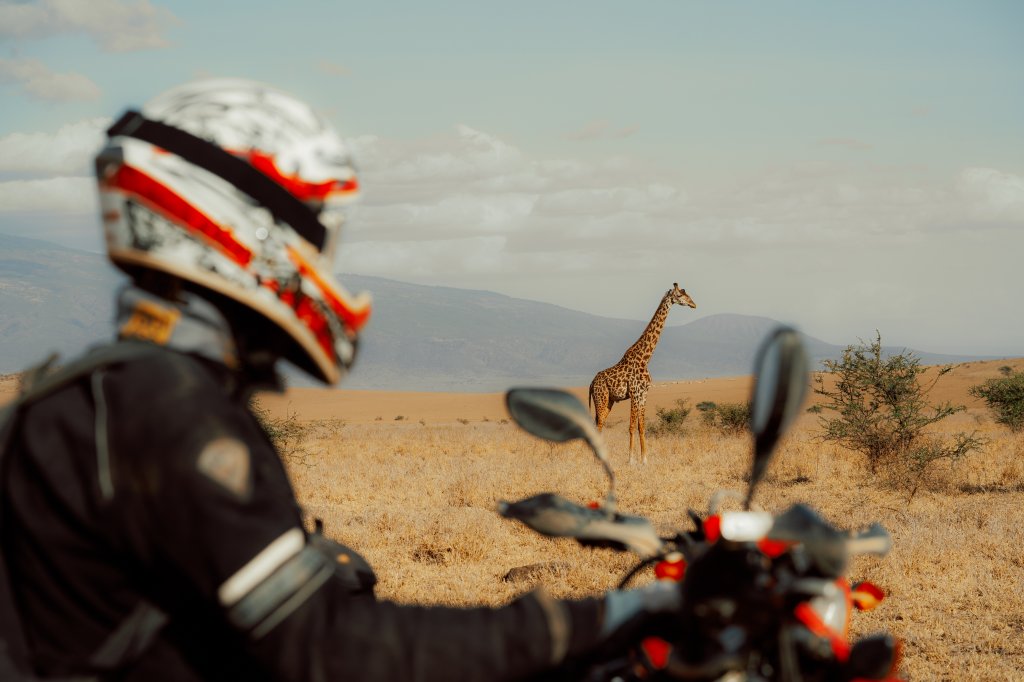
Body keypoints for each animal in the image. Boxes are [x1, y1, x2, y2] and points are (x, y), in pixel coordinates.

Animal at [593, 280, 696, 462]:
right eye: (680, 295)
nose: (693, 304)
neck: (645, 358)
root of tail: (591, 384)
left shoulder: (644, 393)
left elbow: (641, 426)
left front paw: (644, 459)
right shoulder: (634, 393)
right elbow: (631, 426)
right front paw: (631, 460)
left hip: (609, 400)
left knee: (599, 423)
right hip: (601, 397)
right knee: (598, 425)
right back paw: (597, 460)